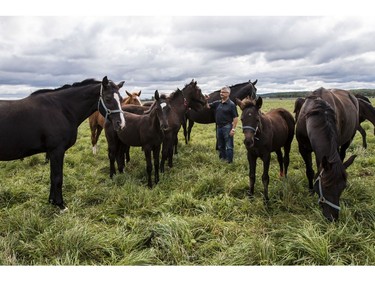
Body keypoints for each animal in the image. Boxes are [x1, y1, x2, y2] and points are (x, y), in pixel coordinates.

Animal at [0, 76, 126, 210]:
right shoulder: (57, 151)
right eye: (107, 98)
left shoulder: (51, 152)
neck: (61, 109)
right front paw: (60, 205)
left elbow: (52, 177)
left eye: (121, 99)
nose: (121, 124)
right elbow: (57, 178)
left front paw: (51, 201)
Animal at [296, 87, 360, 221]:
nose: (332, 218)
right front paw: (310, 191)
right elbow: (310, 171)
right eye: (325, 186)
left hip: (348, 140)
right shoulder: (303, 149)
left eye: (343, 187)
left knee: (342, 155)